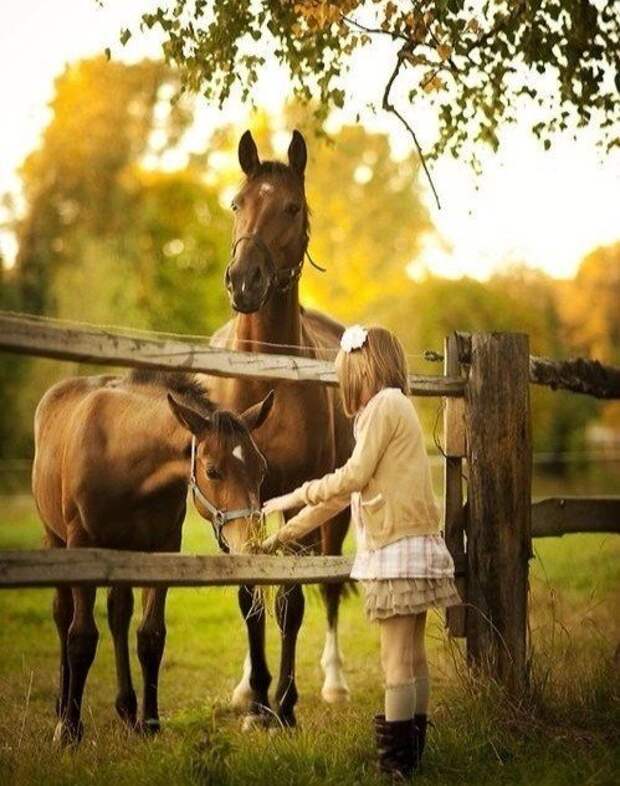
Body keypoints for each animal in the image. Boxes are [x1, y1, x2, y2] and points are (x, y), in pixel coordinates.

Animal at [32, 370, 274, 744]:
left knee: (118, 615)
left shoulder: (164, 548)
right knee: (63, 615)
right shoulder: (81, 546)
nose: (249, 542)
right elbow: (81, 637)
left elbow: (150, 635)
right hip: (55, 539)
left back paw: (127, 710)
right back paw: (63, 710)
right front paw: (70, 730)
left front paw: (149, 723)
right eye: (212, 470)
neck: (122, 456)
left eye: (261, 469)